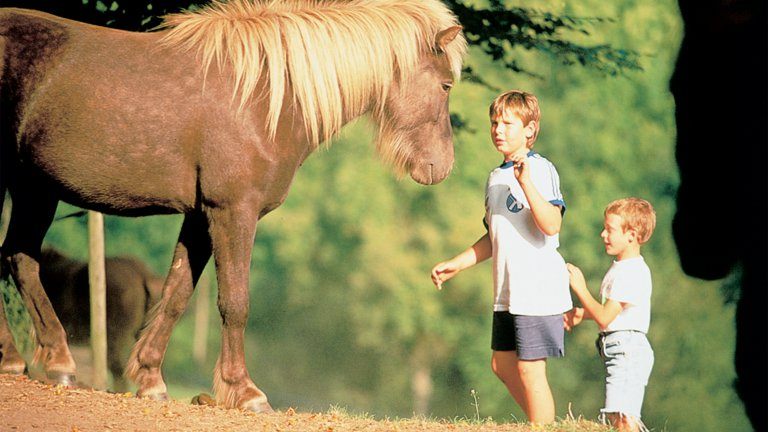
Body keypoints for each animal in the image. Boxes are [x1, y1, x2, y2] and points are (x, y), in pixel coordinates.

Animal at [0, 0, 466, 412]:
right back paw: (34, 360)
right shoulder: (233, 211)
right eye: (445, 85)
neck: (264, 97)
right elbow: (235, 301)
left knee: (18, 258)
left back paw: (39, 360)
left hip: (33, 187)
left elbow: (176, 294)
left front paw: (150, 379)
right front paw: (244, 391)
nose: (440, 167)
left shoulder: (199, 215)